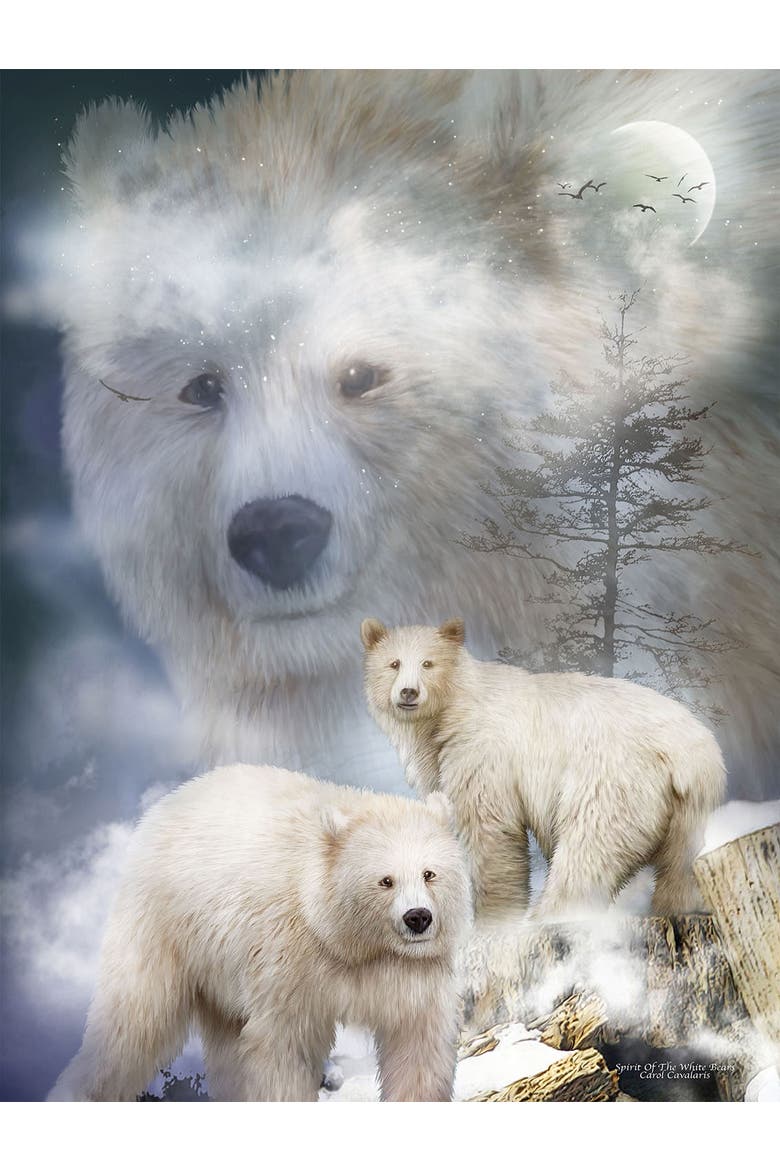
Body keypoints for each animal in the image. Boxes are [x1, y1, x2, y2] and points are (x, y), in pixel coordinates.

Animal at [48, 765, 472, 1101]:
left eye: (429, 873)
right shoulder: (290, 961)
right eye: (385, 880)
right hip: (165, 926)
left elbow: (417, 1045)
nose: (418, 918)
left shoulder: (408, 973)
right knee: (133, 1020)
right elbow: (283, 1047)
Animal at [361, 618, 726, 922]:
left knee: (588, 849)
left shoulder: (481, 751)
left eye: (428, 663)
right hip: (688, 808)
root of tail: (690, 752)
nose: (409, 692)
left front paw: (494, 919)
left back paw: (549, 916)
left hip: (612, 779)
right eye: (394, 663)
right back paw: (678, 906)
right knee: (680, 864)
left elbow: (490, 831)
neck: (450, 712)